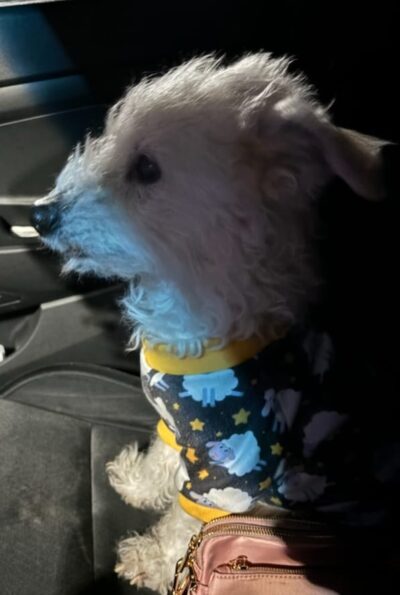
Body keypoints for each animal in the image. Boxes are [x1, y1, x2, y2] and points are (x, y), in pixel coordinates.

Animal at [31, 54, 389, 593]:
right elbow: (162, 458)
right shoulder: (176, 421)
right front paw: (137, 482)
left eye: (147, 168)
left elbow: (186, 523)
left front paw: (152, 558)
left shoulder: (234, 469)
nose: (39, 215)